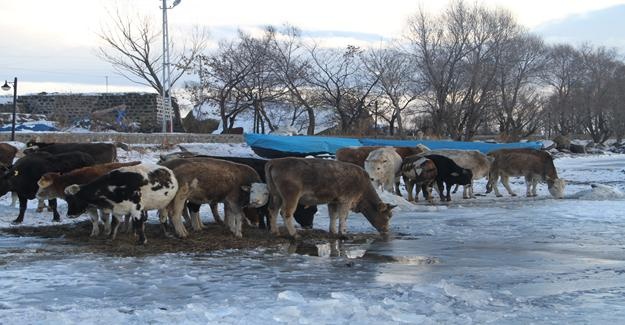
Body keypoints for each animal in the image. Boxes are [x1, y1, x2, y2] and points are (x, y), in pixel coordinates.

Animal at [264, 157, 394, 238]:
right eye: (387, 216)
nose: (387, 231)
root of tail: (274, 162)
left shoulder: (333, 201)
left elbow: (333, 216)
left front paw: (333, 231)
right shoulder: (346, 200)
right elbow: (343, 217)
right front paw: (343, 233)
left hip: (276, 195)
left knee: (272, 210)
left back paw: (275, 232)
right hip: (291, 196)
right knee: (285, 213)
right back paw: (294, 234)